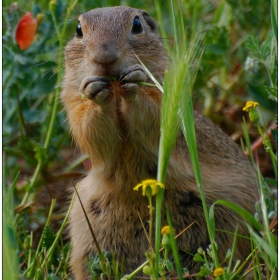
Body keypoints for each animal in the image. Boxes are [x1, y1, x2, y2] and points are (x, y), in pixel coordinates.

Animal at [61, 5, 258, 278]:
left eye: (137, 25)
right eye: (79, 30)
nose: (104, 56)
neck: (116, 95)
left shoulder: (166, 94)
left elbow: (154, 115)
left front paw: (135, 80)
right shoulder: (72, 101)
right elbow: (90, 130)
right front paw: (94, 92)